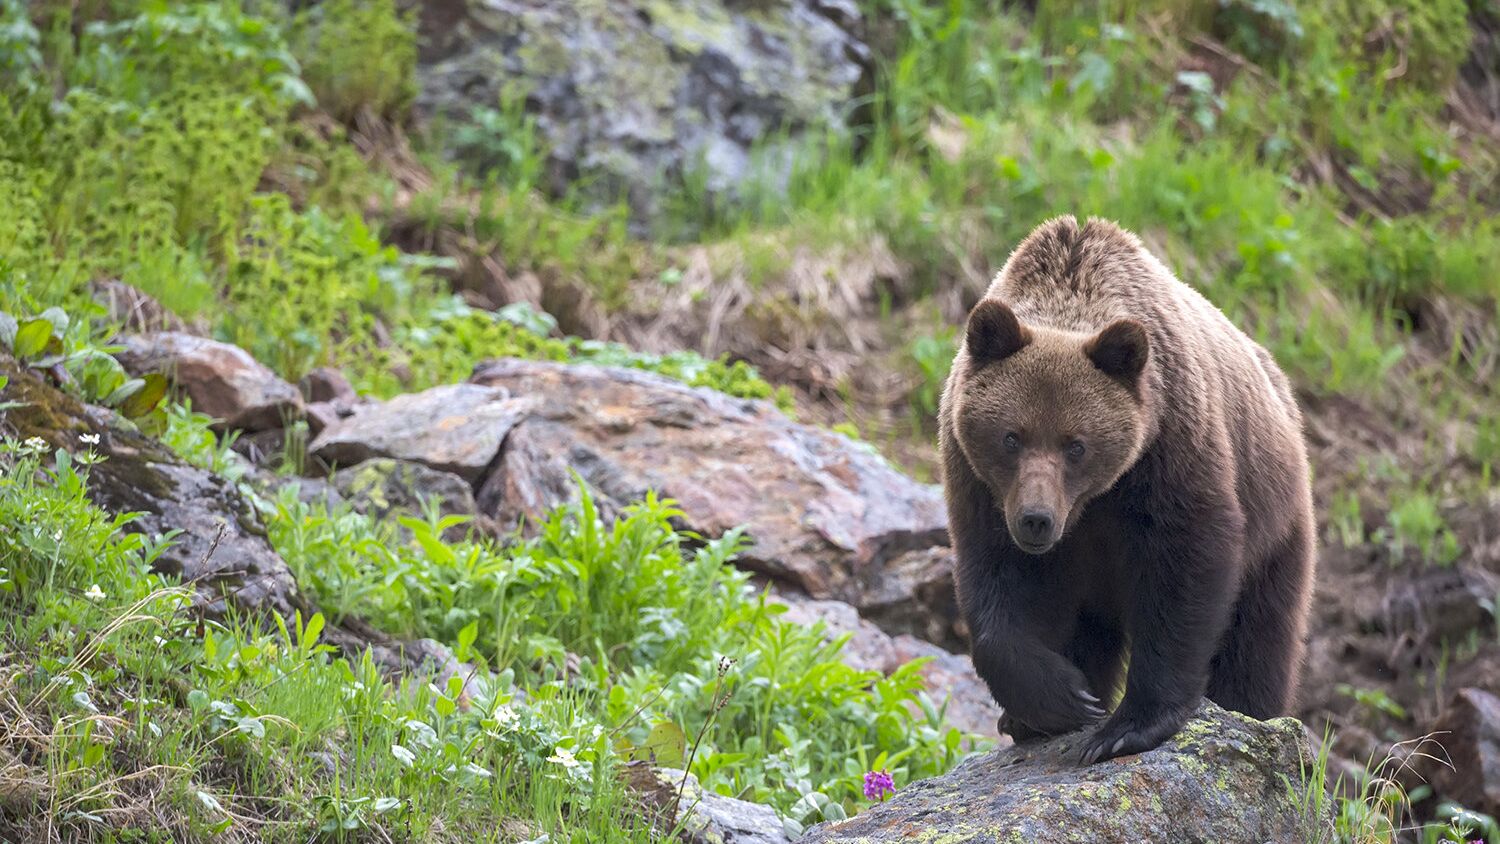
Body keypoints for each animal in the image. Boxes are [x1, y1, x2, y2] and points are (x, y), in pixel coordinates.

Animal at [942, 214, 1320, 761]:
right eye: (1011, 437)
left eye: (1076, 444)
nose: (1036, 520)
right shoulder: (981, 486)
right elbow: (996, 583)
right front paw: (1060, 699)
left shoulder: (1170, 450)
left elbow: (1184, 568)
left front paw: (1126, 726)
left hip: (1277, 523)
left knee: (1258, 639)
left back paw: (1254, 711)